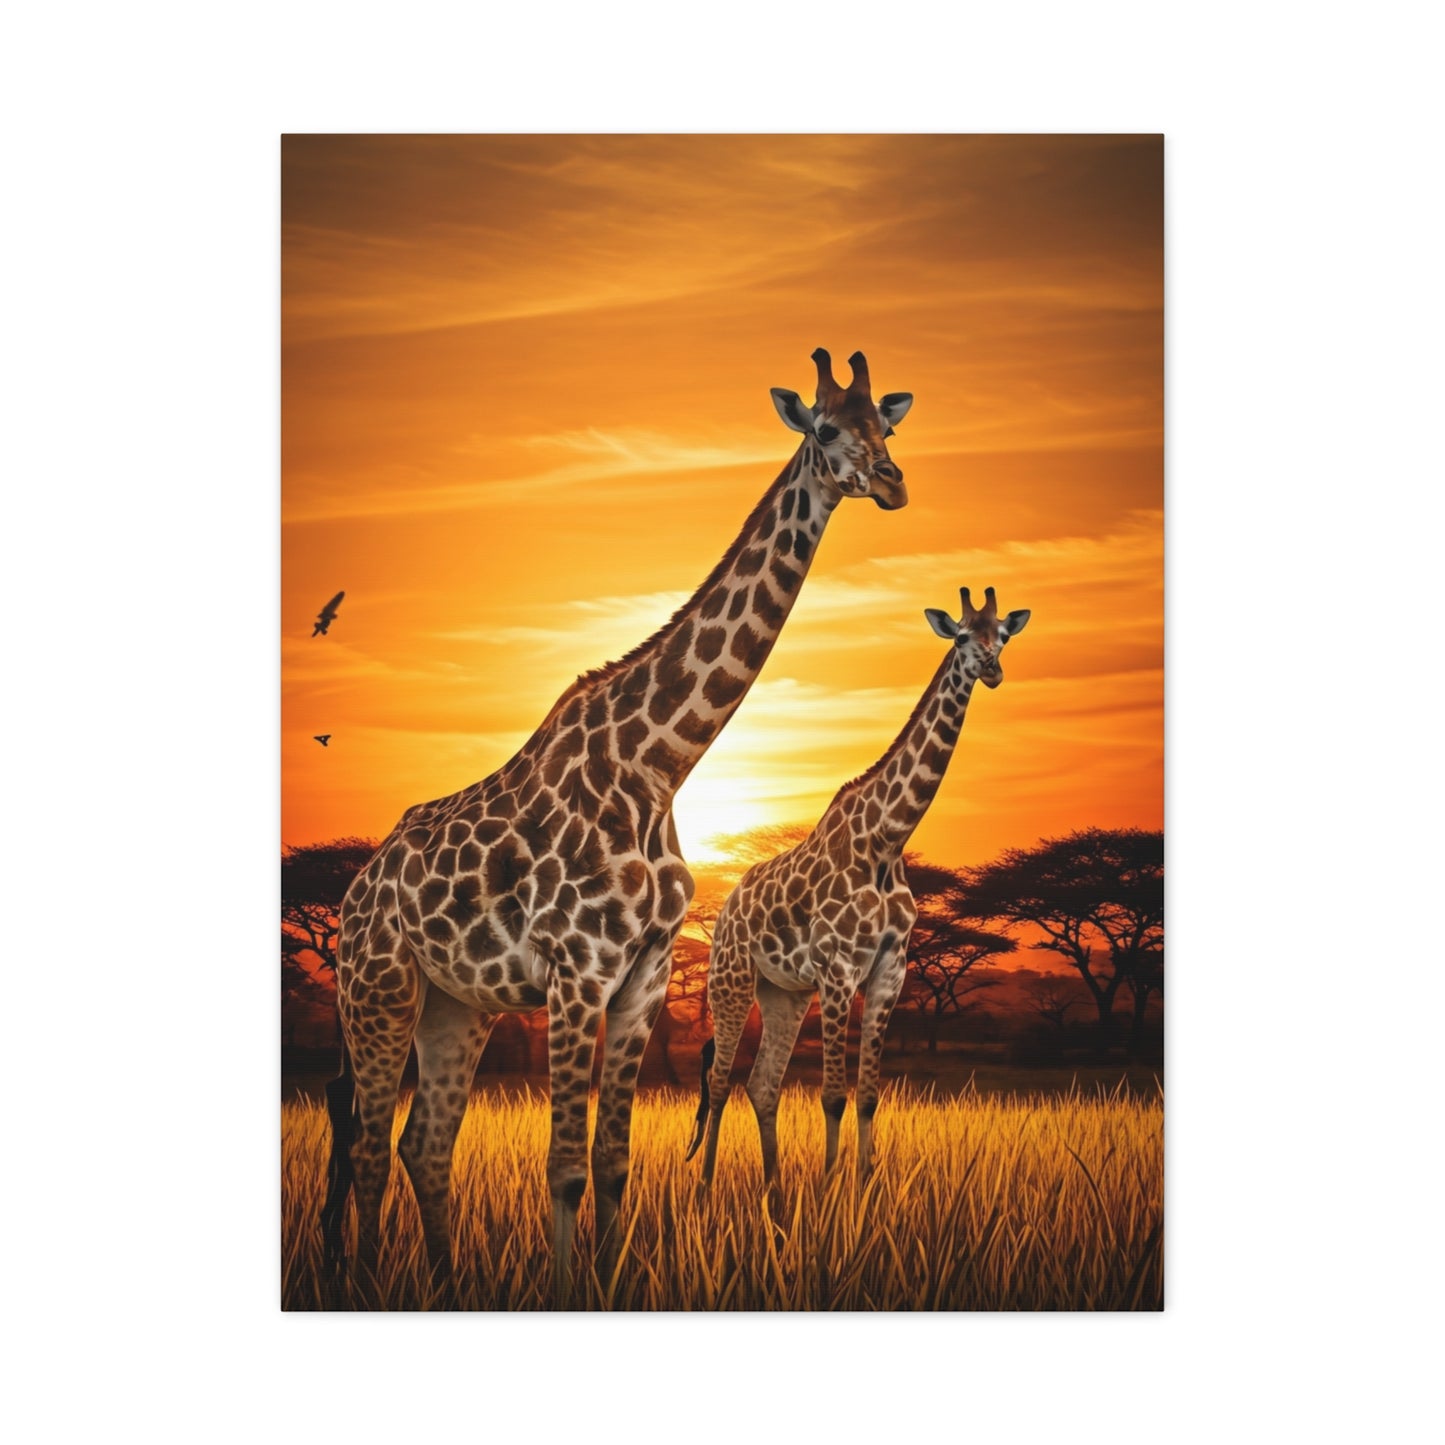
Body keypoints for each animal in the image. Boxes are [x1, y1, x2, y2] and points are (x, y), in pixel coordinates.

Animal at [322, 348, 915, 1306]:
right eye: (825, 428)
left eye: (885, 426)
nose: (893, 482)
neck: (659, 764)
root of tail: (353, 893)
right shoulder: (577, 968)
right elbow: (563, 1167)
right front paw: (569, 1289)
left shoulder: (641, 975)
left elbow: (611, 1162)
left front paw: (609, 1281)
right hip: (378, 988)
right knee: (372, 1147)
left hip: (458, 1004)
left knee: (423, 1144)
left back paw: (442, 1286)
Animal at [687, 585, 1031, 1193]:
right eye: (963, 637)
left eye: (1004, 636)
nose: (992, 670)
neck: (887, 841)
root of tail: (725, 910)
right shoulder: (839, 968)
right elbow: (832, 1095)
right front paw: (829, 1189)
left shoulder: (890, 970)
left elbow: (868, 1095)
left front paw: (865, 1187)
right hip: (731, 981)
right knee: (723, 1081)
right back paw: (705, 1192)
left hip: (784, 993)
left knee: (762, 1085)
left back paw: (776, 1191)